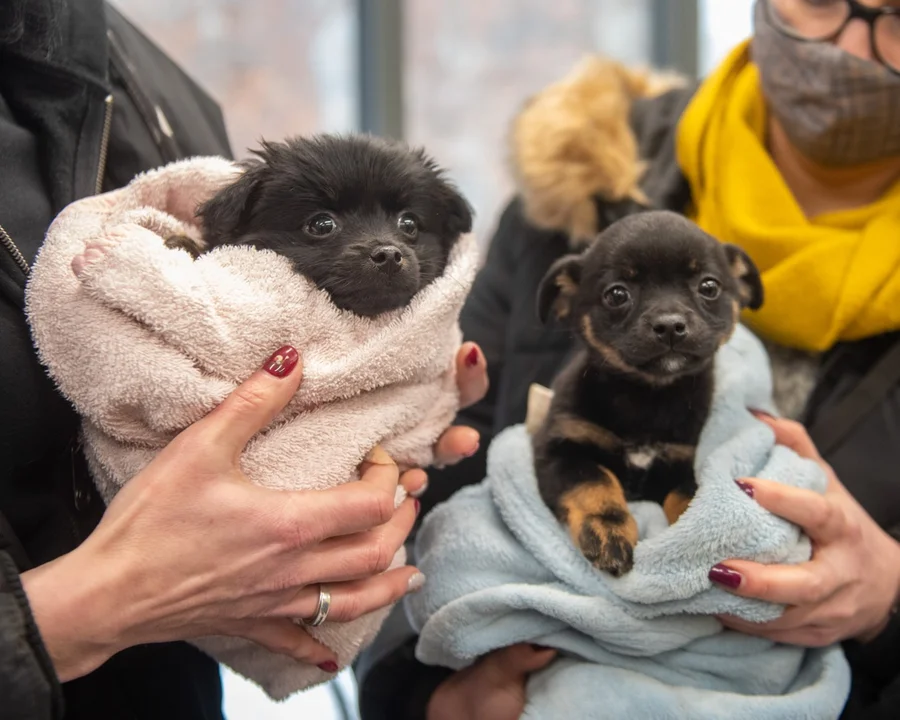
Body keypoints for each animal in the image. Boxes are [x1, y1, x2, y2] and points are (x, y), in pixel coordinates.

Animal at [532, 211, 764, 576]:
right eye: (616, 294)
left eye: (709, 287)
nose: (670, 325)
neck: (648, 395)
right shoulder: (561, 448)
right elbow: (595, 482)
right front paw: (608, 530)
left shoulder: (686, 459)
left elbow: (689, 496)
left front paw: (692, 536)